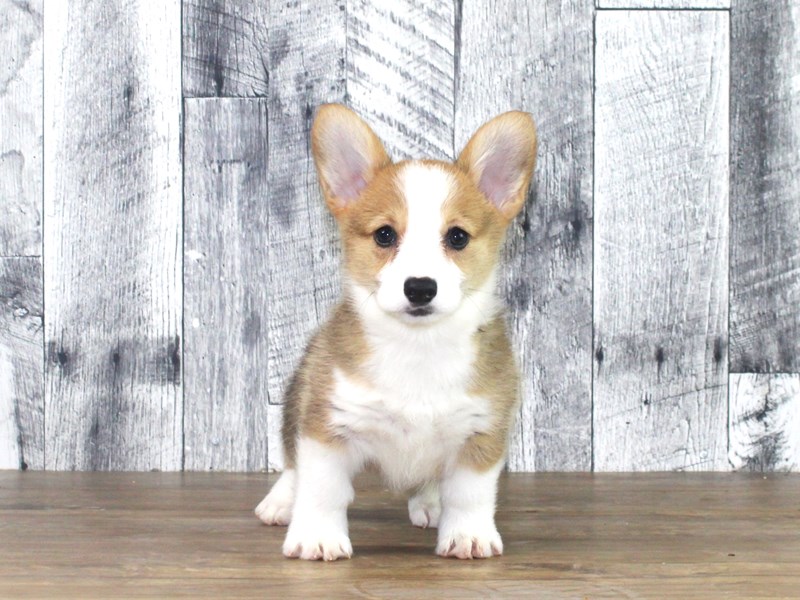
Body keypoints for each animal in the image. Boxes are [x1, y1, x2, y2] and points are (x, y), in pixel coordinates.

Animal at [255, 104, 537, 561]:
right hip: (298, 400)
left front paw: (468, 535)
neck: (417, 345)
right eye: (385, 235)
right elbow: (322, 489)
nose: (420, 287)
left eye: (457, 237)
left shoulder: (481, 433)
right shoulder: (327, 426)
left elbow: (469, 495)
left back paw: (429, 502)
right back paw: (280, 502)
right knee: (293, 463)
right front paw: (318, 536)